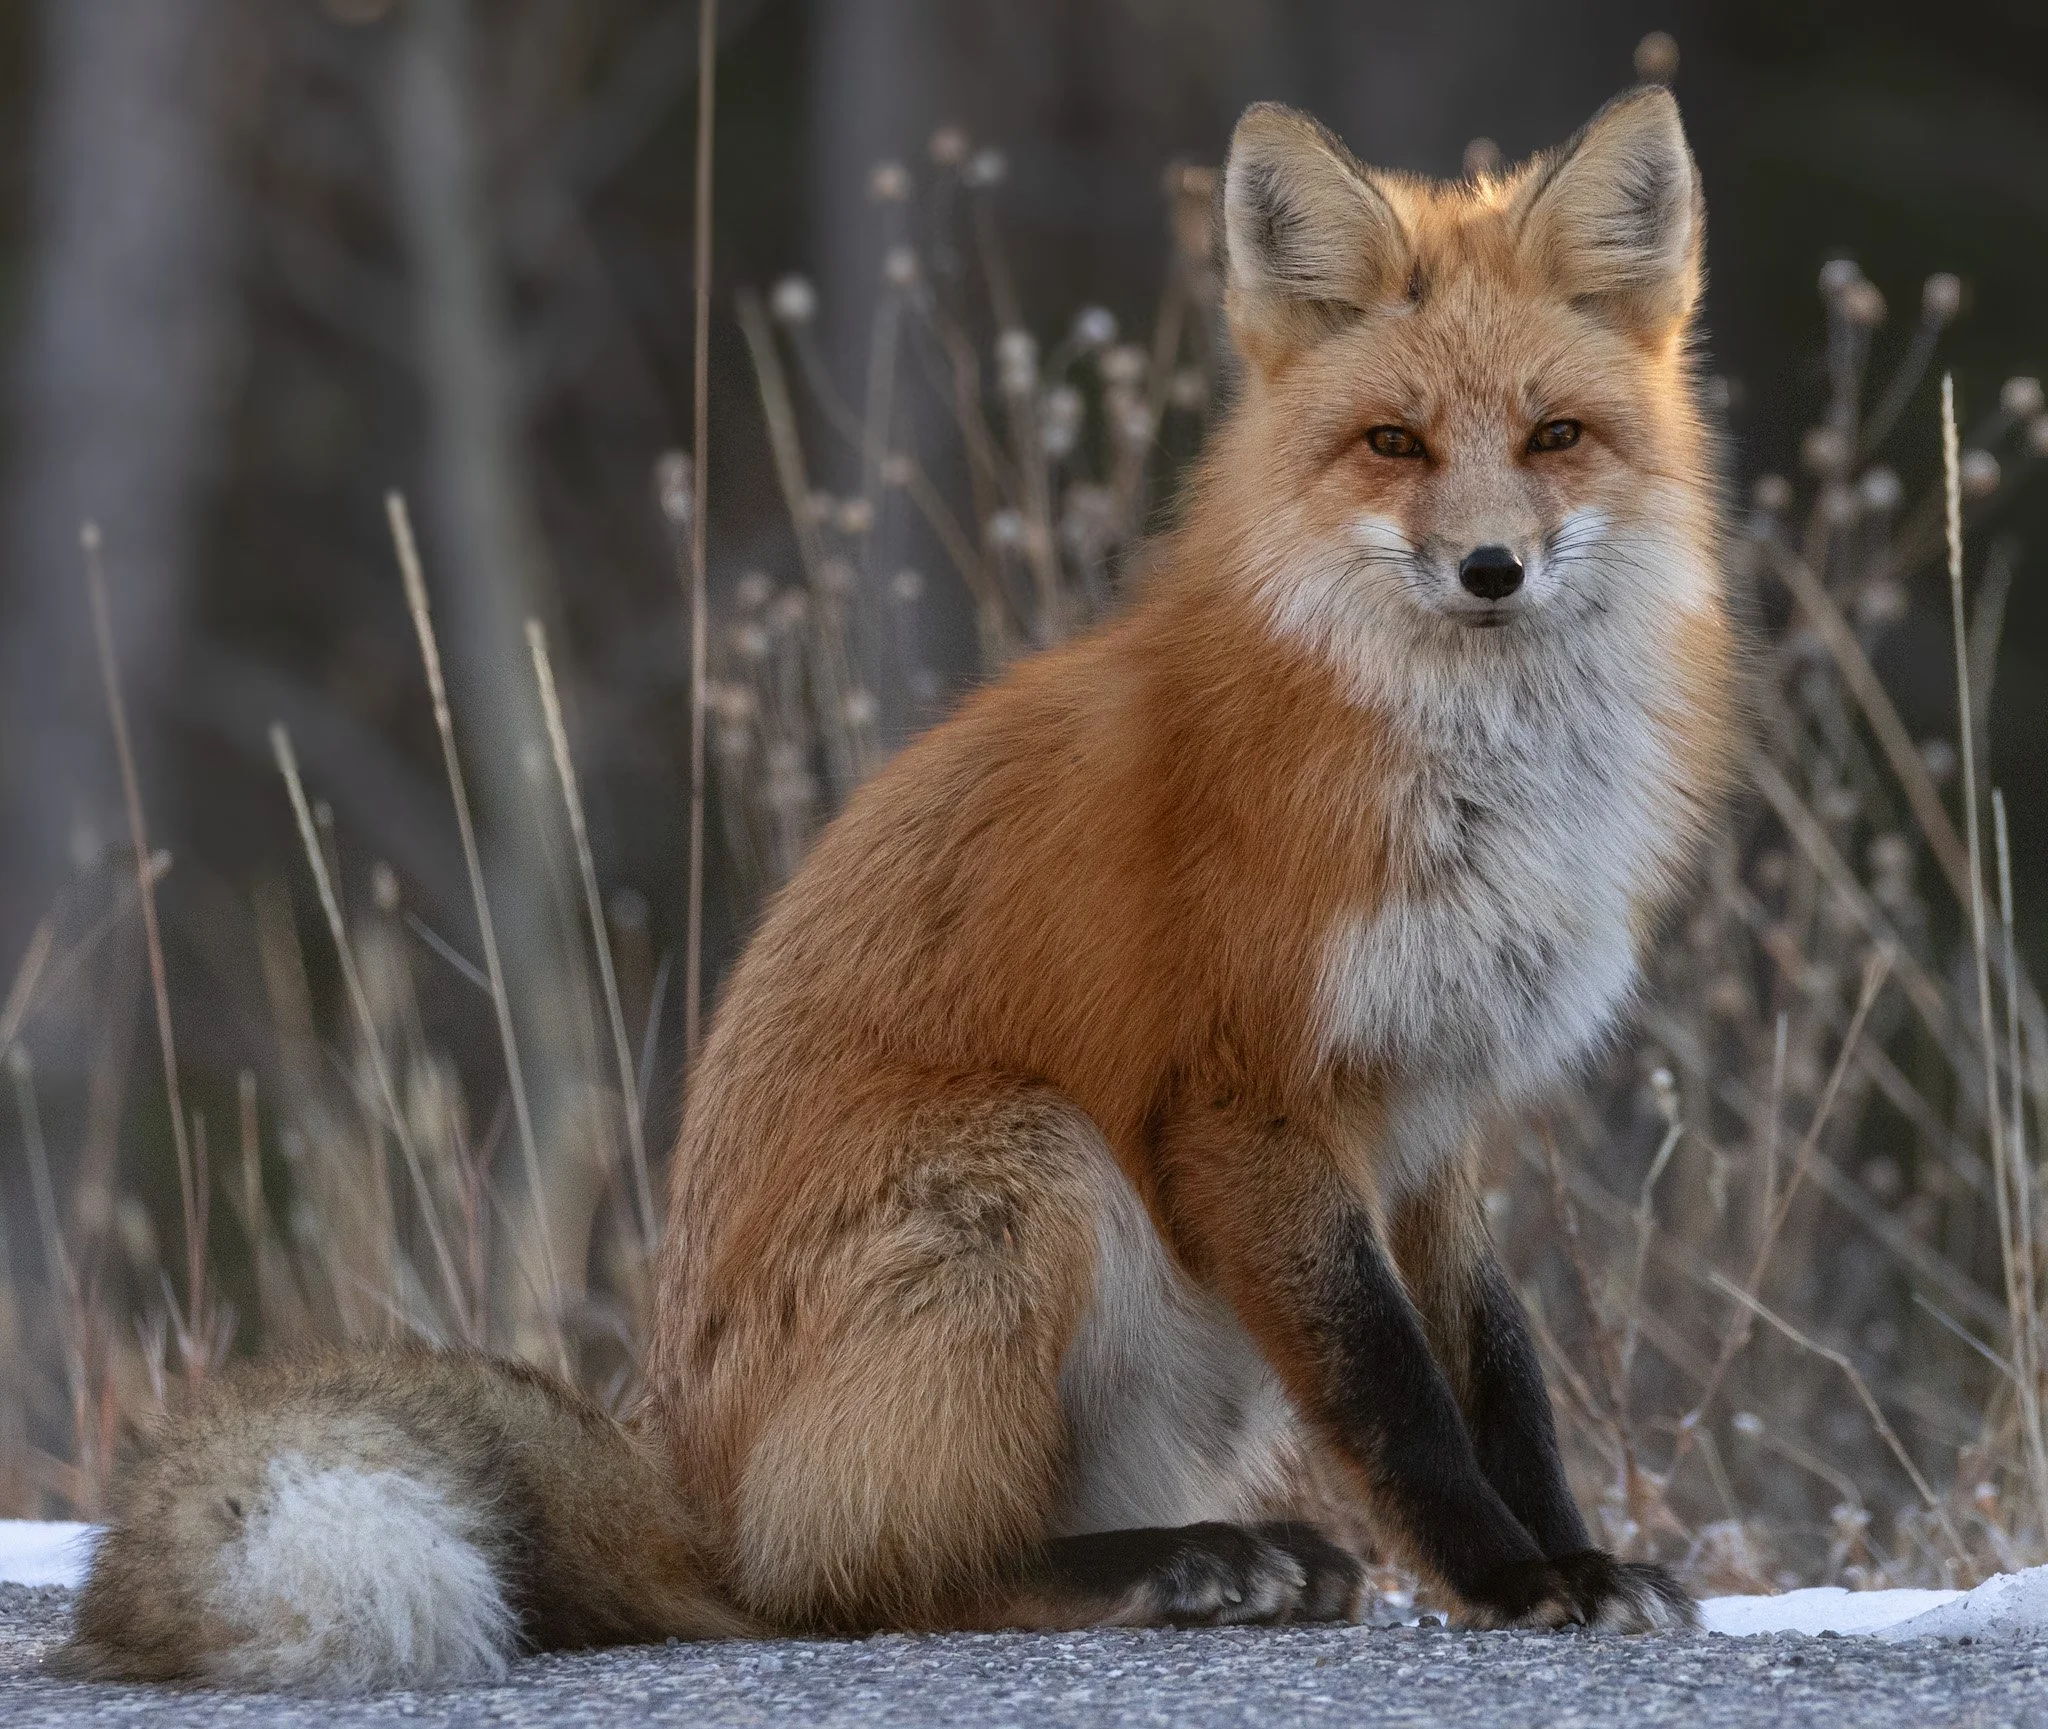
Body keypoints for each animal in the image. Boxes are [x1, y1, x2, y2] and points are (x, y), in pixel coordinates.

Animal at [60, 85, 1736, 1690]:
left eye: (1554, 437)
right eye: (1395, 443)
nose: (1491, 569)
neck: (1468, 780)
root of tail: (694, 1490)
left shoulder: (1439, 1112)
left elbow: (1501, 1373)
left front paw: (1577, 1560)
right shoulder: (1247, 1096)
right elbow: (1397, 1397)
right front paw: (1507, 1578)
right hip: (1029, 1172)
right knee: (867, 1584)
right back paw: (1163, 1568)